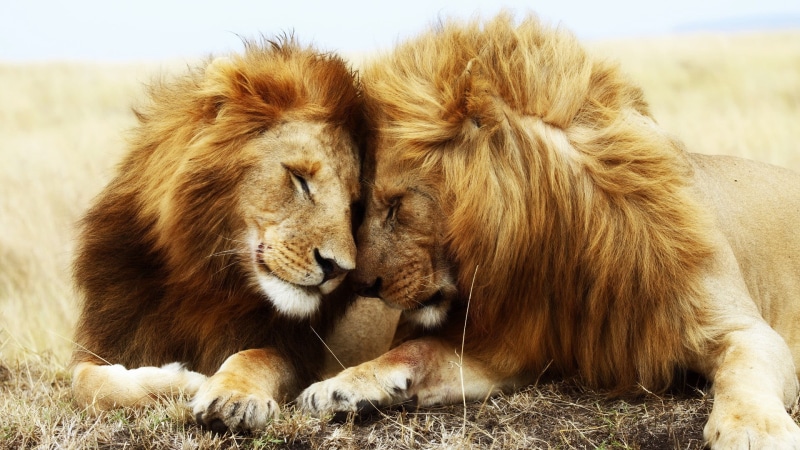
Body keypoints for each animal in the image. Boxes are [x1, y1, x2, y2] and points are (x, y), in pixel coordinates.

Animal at [70, 37, 379, 433]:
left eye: (354, 205)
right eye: (299, 178)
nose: (338, 268)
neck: (206, 279)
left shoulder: (297, 352)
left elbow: (255, 357)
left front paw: (232, 396)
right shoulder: (110, 337)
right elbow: (85, 382)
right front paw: (182, 381)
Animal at [298, 14, 800, 448]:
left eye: (397, 206)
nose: (361, 286)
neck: (561, 243)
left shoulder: (742, 328)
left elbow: (744, 371)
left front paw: (752, 430)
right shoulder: (511, 348)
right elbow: (417, 350)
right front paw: (339, 386)